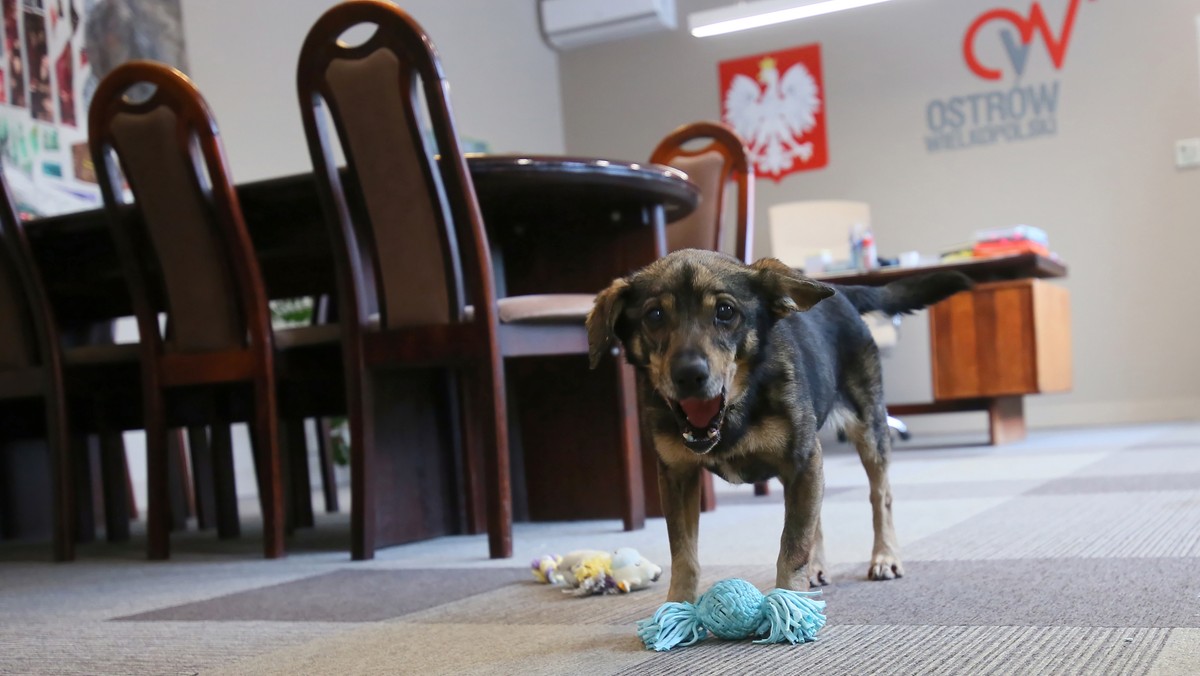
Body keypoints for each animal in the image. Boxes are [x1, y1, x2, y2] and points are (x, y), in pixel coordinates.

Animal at [585, 249, 969, 602]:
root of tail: (842, 293)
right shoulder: (677, 476)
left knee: (879, 496)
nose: (689, 375)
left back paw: (885, 556)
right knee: (818, 516)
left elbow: (793, 546)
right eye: (655, 315)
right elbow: (684, 556)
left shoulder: (802, 461)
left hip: (868, 428)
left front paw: (789, 604)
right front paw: (677, 608)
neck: (735, 411)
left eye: (725, 312)